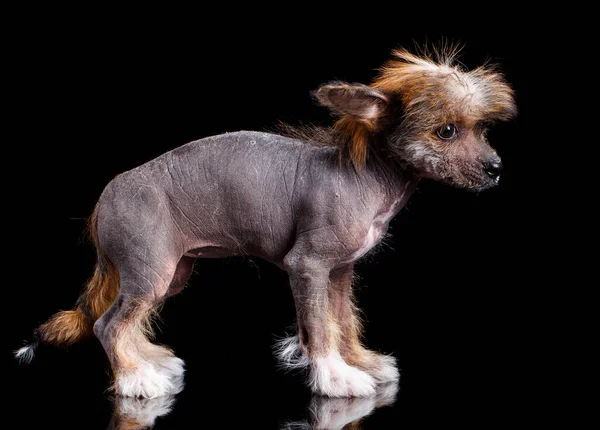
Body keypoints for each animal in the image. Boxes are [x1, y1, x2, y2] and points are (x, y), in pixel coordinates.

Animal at [16, 45, 516, 398]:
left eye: (482, 129)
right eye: (446, 131)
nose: (496, 168)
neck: (367, 174)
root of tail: (103, 201)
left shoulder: (339, 272)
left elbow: (343, 320)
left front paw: (361, 362)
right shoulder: (307, 267)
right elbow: (319, 327)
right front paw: (335, 378)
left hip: (172, 273)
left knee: (126, 321)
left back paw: (150, 363)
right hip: (150, 271)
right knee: (107, 325)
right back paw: (137, 380)